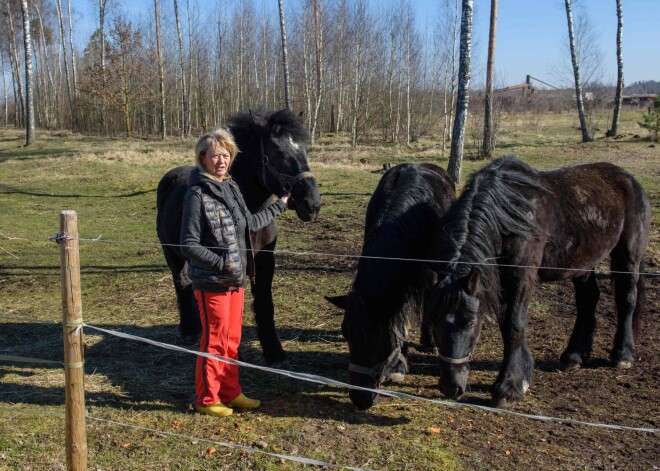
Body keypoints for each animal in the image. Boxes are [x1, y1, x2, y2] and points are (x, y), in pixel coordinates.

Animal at [155, 109, 320, 366]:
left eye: (306, 150)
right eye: (278, 152)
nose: (312, 204)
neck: (250, 211)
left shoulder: (264, 261)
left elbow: (265, 303)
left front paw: (274, 352)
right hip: (171, 252)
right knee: (180, 281)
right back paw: (190, 329)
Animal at [428, 157, 648, 408]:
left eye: (470, 322)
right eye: (433, 320)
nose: (451, 387)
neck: (509, 212)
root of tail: (629, 179)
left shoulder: (521, 277)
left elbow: (514, 325)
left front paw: (508, 388)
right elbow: (506, 324)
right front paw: (523, 377)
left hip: (627, 256)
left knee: (627, 299)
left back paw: (623, 355)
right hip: (583, 263)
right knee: (588, 301)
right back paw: (574, 355)